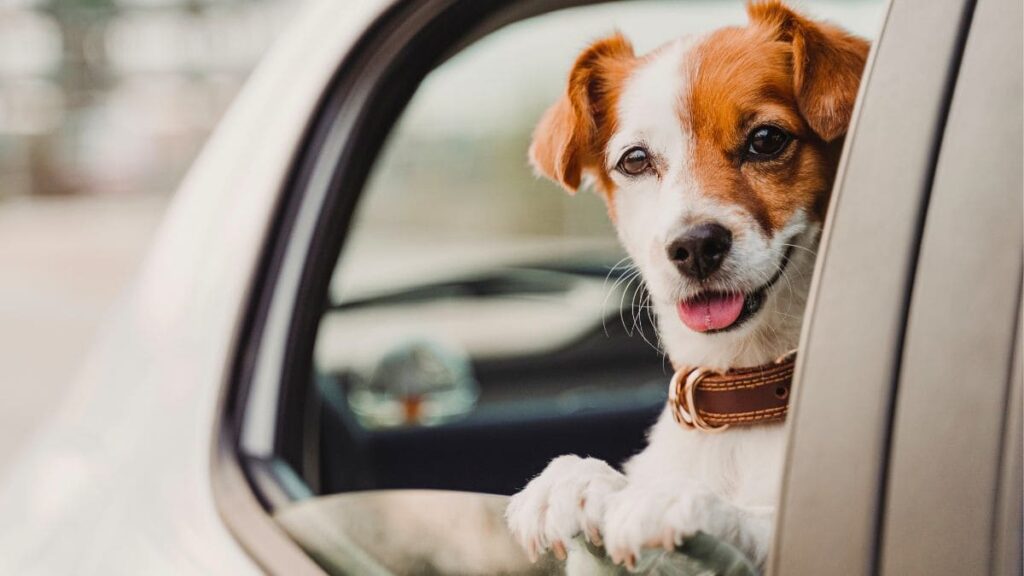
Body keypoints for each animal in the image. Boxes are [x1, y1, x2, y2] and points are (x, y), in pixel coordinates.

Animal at [503, 1, 864, 569]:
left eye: (767, 140)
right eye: (634, 159)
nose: (694, 246)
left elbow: (758, 521)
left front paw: (674, 500)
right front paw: (572, 479)